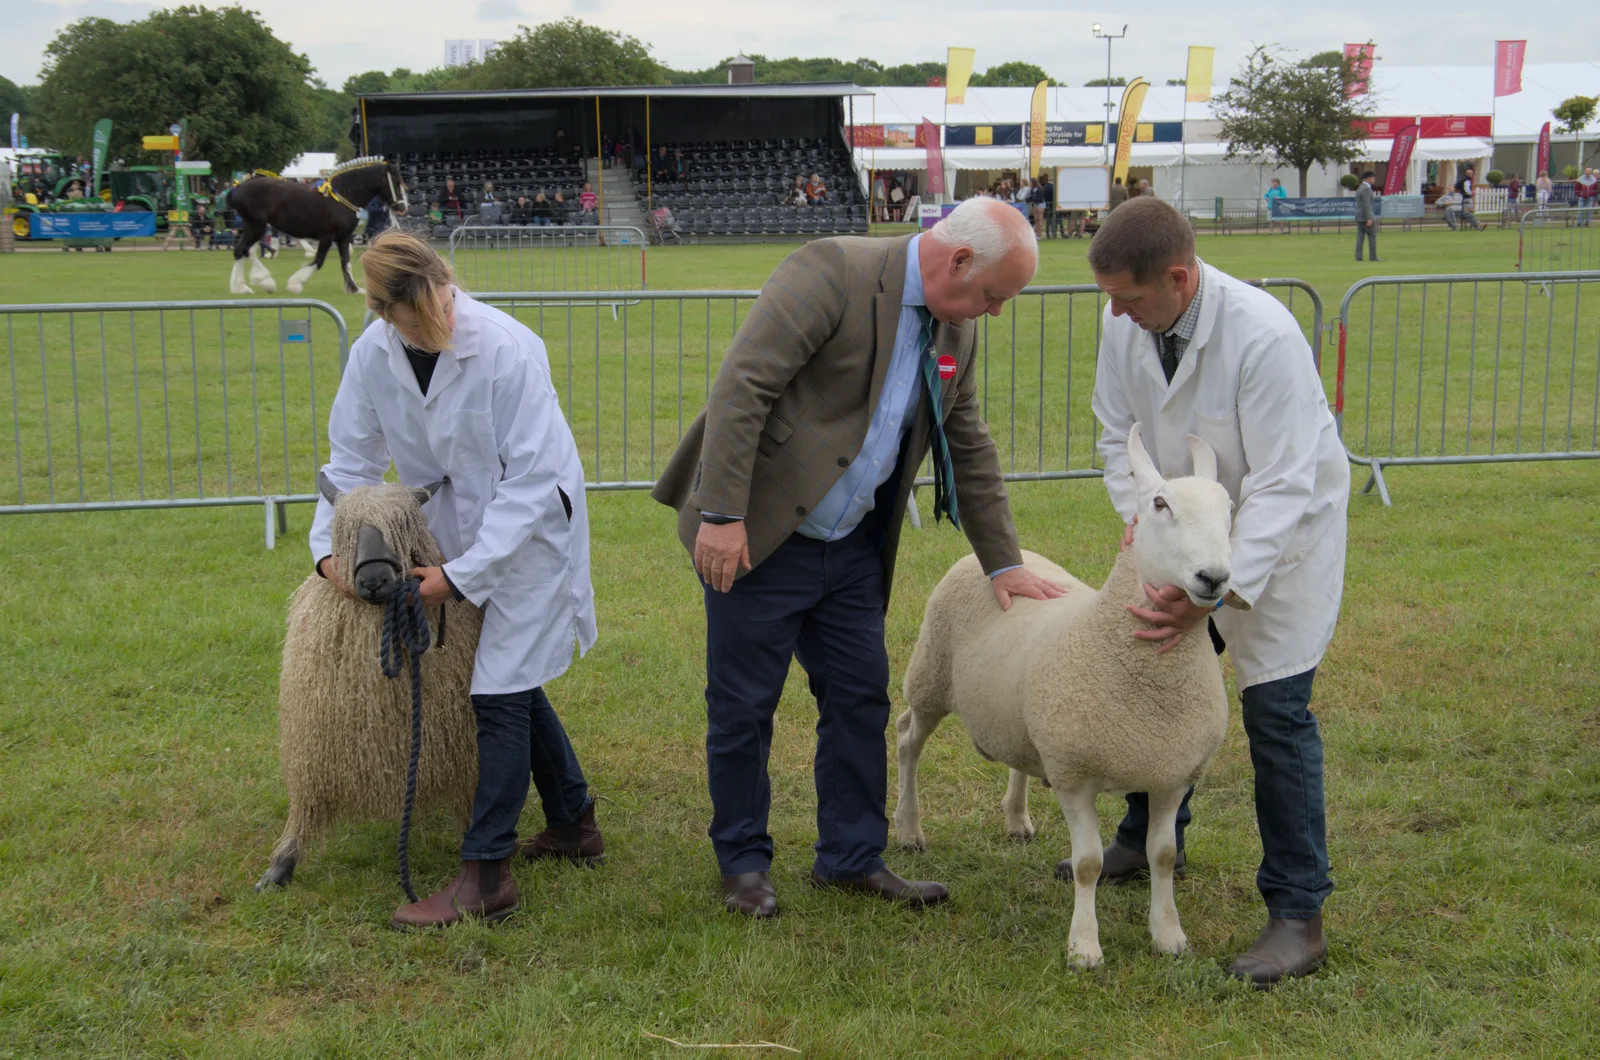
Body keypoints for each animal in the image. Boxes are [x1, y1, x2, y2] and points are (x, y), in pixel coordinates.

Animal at [228, 156, 409, 294]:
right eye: (396, 182)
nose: (403, 208)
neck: (342, 196)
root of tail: (238, 188)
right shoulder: (327, 236)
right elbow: (319, 260)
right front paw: (295, 284)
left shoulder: (344, 237)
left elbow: (346, 262)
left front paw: (354, 288)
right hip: (256, 226)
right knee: (244, 250)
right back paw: (263, 282)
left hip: (251, 227)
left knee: (241, 251)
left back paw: (242, 287)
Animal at [252, 483, 480, 896]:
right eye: (346, 530)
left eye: (404, 526)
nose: (374, 581)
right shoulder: (314, 750)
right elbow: (304, 805)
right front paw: (281, 864)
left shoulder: (458, 746)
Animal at [896, 422, 1228, 973]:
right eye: (1159, 504)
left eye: (1229, 507)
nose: (1214, 578)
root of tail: (1007, 561)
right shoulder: (1075, 776)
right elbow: (1088, 864)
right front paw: (1084, 947)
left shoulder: (1172, 774)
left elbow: (1161, 856)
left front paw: (1167, 935)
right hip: (930, 677)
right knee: (907, 740)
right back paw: (907, 830)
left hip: (1021, 714)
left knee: (1017, 757)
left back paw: (1016, 818)